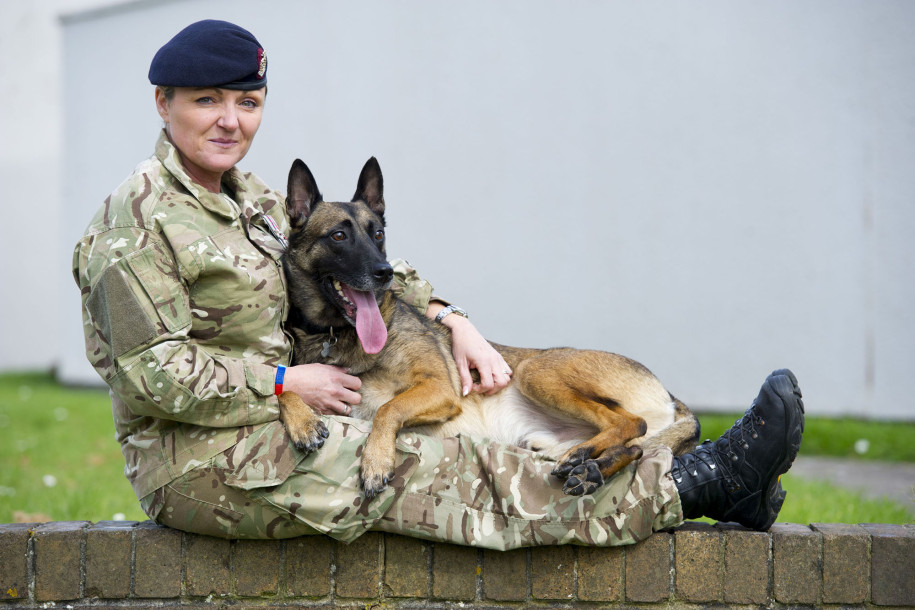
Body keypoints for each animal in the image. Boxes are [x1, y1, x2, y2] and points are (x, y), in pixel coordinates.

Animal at [276, 157, 696, 498]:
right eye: (338, 235)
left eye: (378, 233)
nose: (385, 272)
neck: (336, 334)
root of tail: (672, 399)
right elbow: (285, 384)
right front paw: (302, 420)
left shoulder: (440, 388)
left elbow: (388, 409)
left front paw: (376, 460)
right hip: (542, 434)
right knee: (638, 447)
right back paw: (590, 469)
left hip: (535, 370)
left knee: (632, 423)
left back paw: (585, 456)